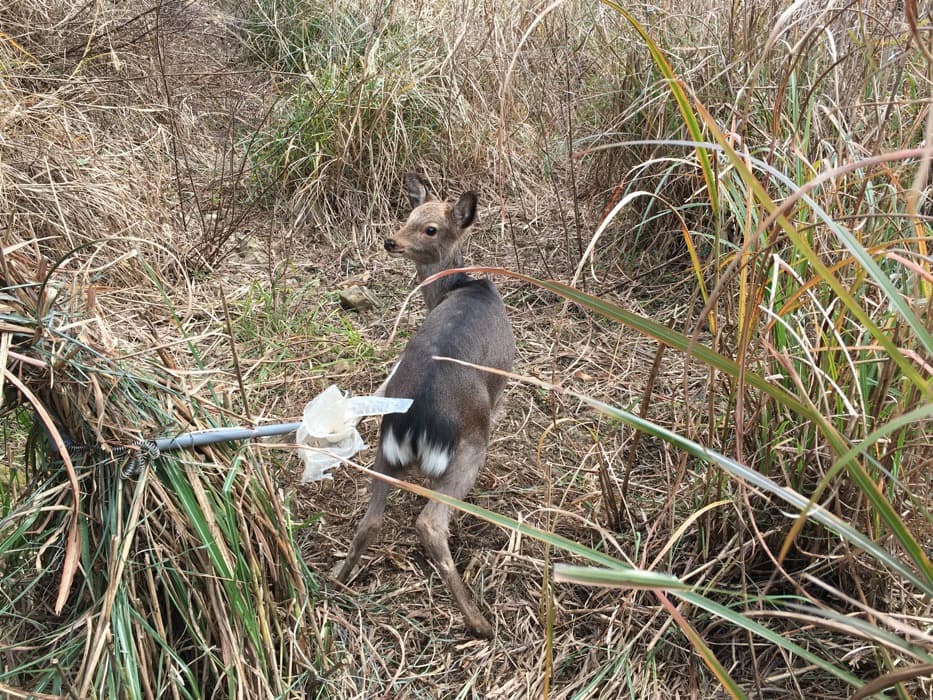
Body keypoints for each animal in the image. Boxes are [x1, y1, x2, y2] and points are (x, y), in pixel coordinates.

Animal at [332, 172, 514, 638]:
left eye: (427, 226)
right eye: (408, 216)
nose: (389, 240)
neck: (464, 286)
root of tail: (416, 421)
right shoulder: (501, 384)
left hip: (383, 448)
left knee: (371, 520)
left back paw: (336, 578)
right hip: (470, 447)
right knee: (431, 523)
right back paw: (479, 622)